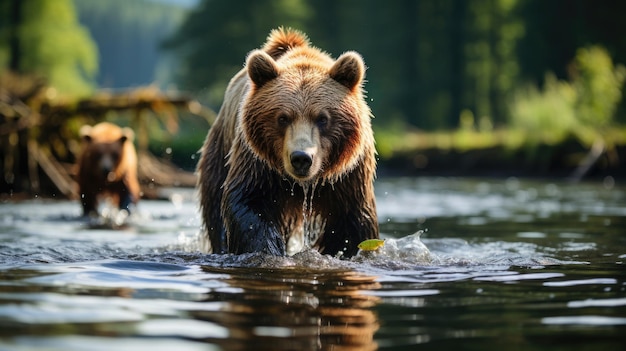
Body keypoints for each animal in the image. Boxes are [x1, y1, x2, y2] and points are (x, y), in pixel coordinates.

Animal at [197, 27, 378, 258]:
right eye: (283, 118)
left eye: (322, 118)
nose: (301, 158)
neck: (303, 185)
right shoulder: (257, 163)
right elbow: (249, 203)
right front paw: (268, 249)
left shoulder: (348, 177)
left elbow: (352, 226)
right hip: (220, 151)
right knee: (215, 206)